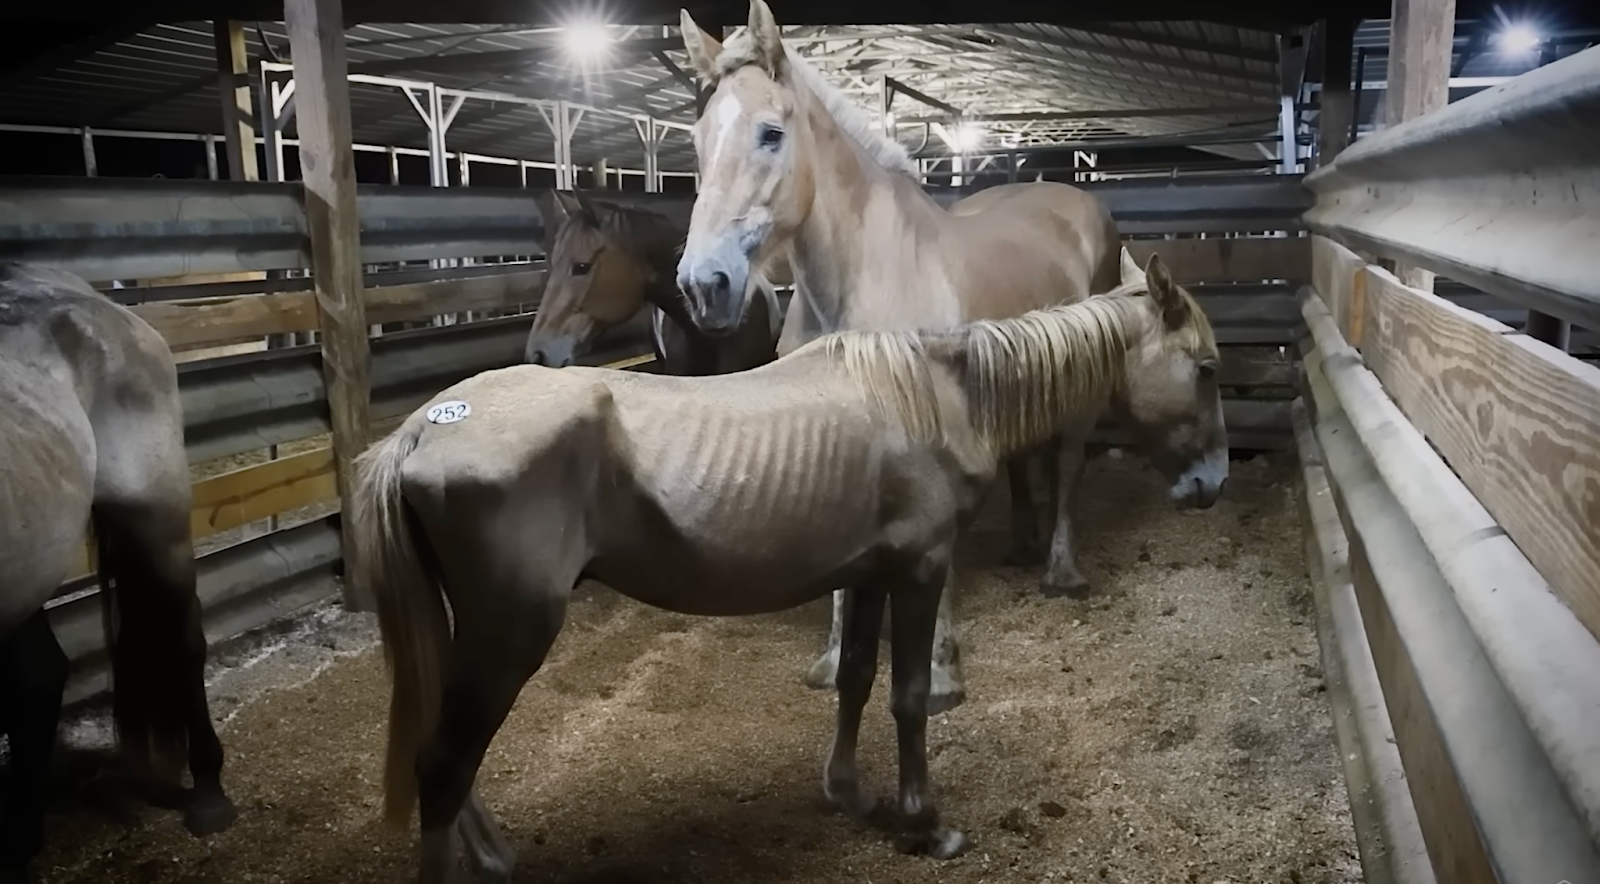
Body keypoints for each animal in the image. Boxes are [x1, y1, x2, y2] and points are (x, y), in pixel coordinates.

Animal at [349, 251, 1225, 884]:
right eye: (1207, 369)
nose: (1211, 485)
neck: (938, 395)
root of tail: (425, 428)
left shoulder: (868, 572)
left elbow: (858, 679)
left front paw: (850, 792)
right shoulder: (919, 569)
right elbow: (909, 696)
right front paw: (926, 822)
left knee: (444, 753)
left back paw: (494, 856)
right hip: (510, 631)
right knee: (443, 762)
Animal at [674, 0, 1169, 709]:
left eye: (771, 134)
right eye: (697, 141)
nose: (703, 285)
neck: (863, 280)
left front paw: (940, 671)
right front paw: (834, 658)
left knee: (1070, 464)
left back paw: (1061, 569)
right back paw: (1023, 543)